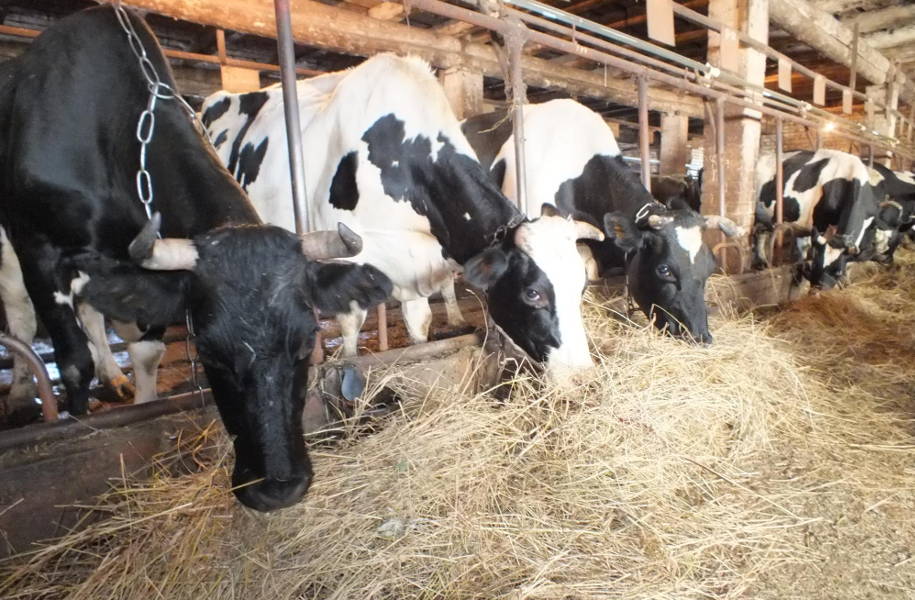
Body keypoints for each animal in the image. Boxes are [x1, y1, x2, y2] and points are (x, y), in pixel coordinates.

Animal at [0, 6, 392, 511]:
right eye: (206, 350)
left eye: (308, 341)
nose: (278, 488)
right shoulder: (37, 245)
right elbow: (71, 362)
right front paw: (78, 417)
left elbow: (145, 351)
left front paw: (139, 397)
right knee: (22, 314)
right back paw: (21, 393)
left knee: (92, 313)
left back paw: (115, 378)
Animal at [200, 55, 606, 382]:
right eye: (533, 293)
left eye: (581, 286)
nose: (583, 376)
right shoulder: (348, 256)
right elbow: (350, 326)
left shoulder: (422, 263)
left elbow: (420, 324)